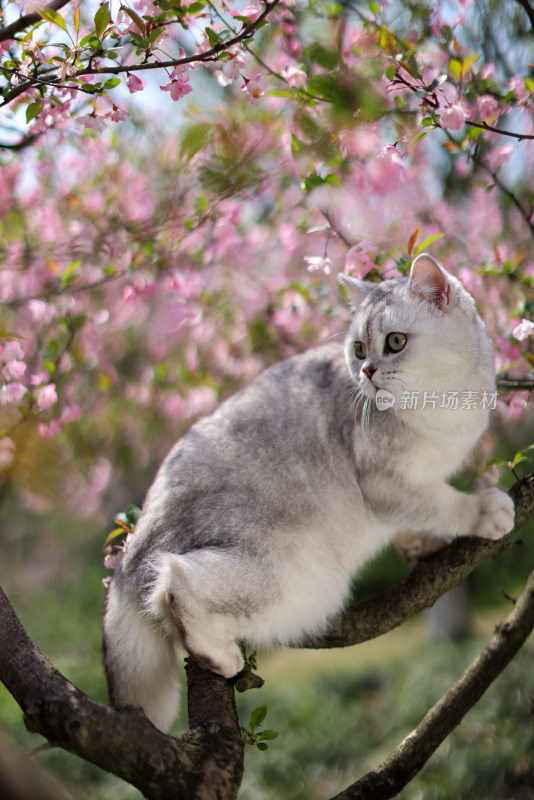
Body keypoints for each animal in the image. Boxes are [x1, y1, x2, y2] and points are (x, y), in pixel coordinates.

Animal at [102, 255, 516, 732]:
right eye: (360, 349)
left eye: (394, 342)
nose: (366, 372)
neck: (448, 405)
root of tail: (132, 552)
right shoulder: (386, 483)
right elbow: (442, 504)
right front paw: (483, 510)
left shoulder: (406, 492)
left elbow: (413, 519)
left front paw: (419, 544)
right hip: (295, 577)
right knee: (174, 583)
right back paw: (218, 655)